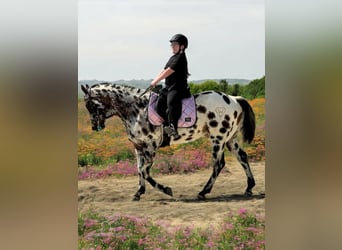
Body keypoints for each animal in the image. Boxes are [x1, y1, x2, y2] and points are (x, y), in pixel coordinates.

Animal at [81, 83, 255, 200]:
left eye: (90, 104)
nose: (95, 127)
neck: (136, 109)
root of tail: (234, 99)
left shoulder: (150, 146)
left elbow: (145, 171)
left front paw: (166, 190)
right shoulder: (138, 146)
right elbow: (139, 169)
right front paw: (138, 193)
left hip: (218, 138)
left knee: (219, 164)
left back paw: (203, 192)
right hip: (229, 138)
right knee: (242, 157)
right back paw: (249, 187)